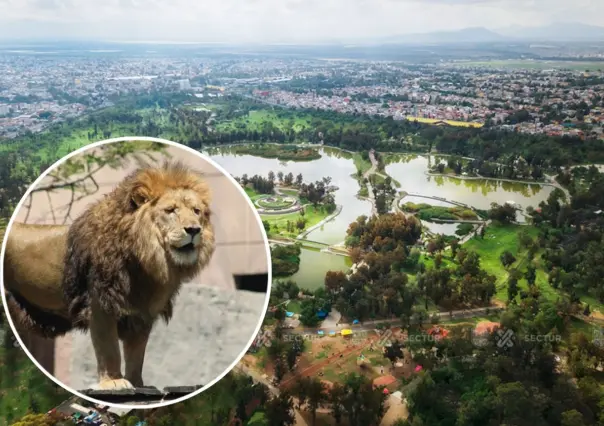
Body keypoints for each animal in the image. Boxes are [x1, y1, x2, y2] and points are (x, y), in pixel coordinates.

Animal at [1, 161, 215, 392]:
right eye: (170, 210)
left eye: (196, 211)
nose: (194, 229)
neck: (144, 263)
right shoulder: (100, 303)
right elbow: (108, 347)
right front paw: (113, 381)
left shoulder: (142, 312)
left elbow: (137, 353)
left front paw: (138, 384)